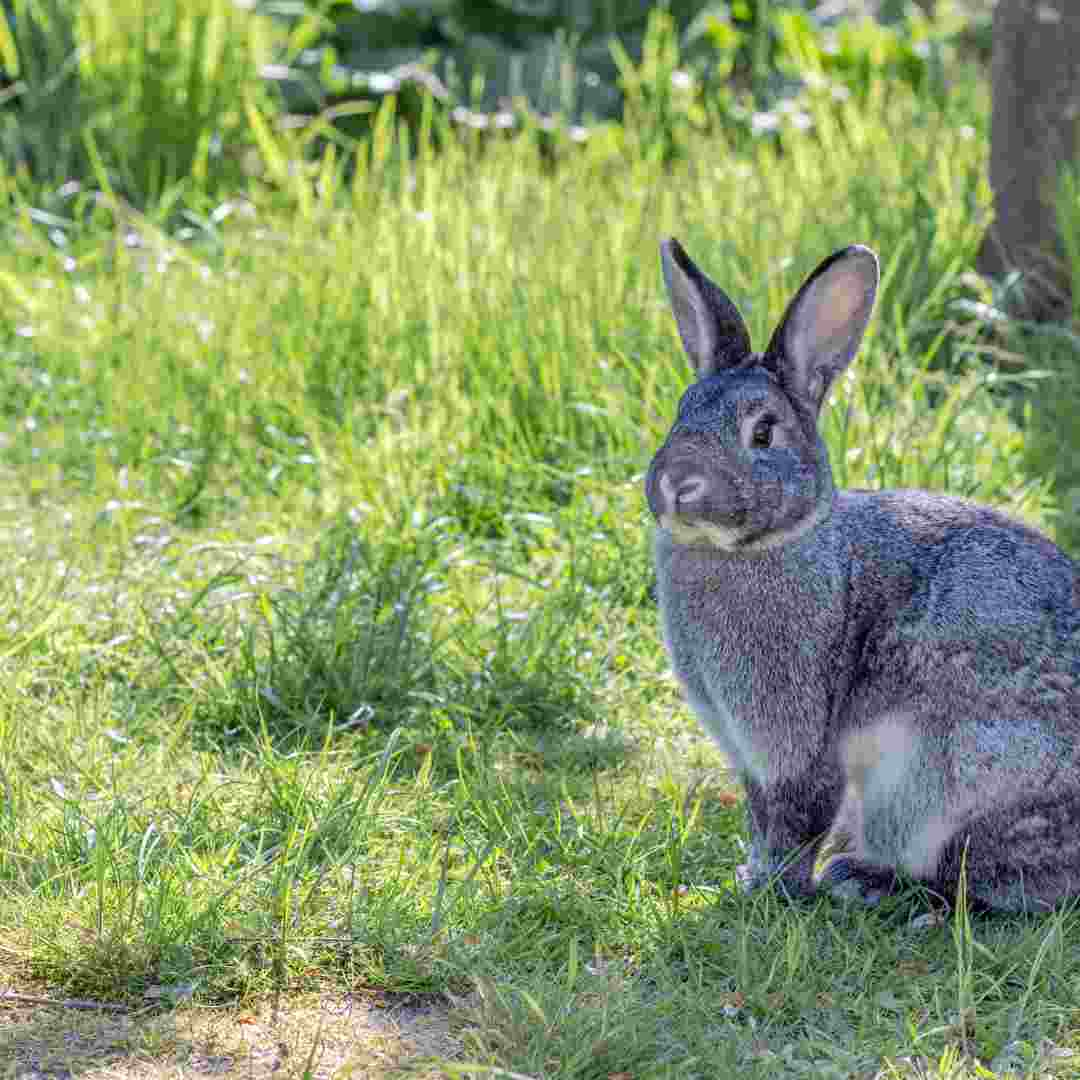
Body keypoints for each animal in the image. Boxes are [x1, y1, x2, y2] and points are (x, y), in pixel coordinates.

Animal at [643, 238, 1080, 911]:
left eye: (763, 432)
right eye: (680, 413)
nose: (675, 483)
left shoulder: (795, 738)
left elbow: (797, 816)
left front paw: (774, 891)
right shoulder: (744, 749)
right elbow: (760, 815)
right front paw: (749, 878)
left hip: (969, 779)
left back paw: (873, 883)